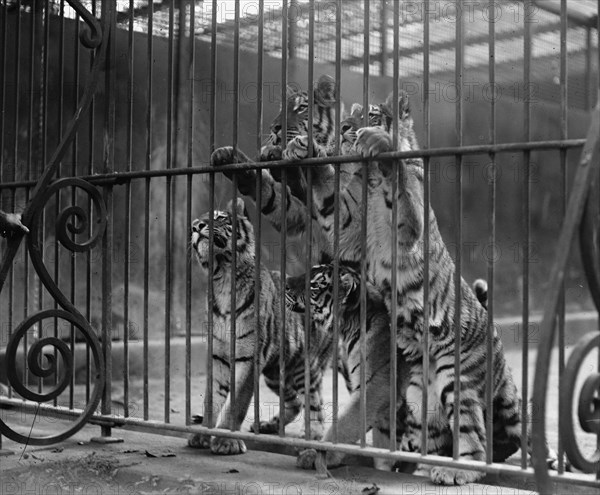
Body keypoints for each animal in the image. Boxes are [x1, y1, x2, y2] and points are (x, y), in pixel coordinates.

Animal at [189, 200, 332, 456]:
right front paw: (203, 434)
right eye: (196, 221)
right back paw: (269, 425)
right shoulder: (217, 355)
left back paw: (312, 437)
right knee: (295, 401)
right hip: (276, 373)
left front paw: (226, 441)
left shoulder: (250, 357)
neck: (222, 277)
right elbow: (211, 400)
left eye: (219, 217)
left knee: (314, 404)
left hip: (305, 368)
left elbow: (236, 402)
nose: (195, 226)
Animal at [284, 262, 410, 470]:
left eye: (314, 285)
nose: (285, 283)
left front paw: (320, 455)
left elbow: (344, 425)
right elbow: (384, 446)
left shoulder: (378, 387)